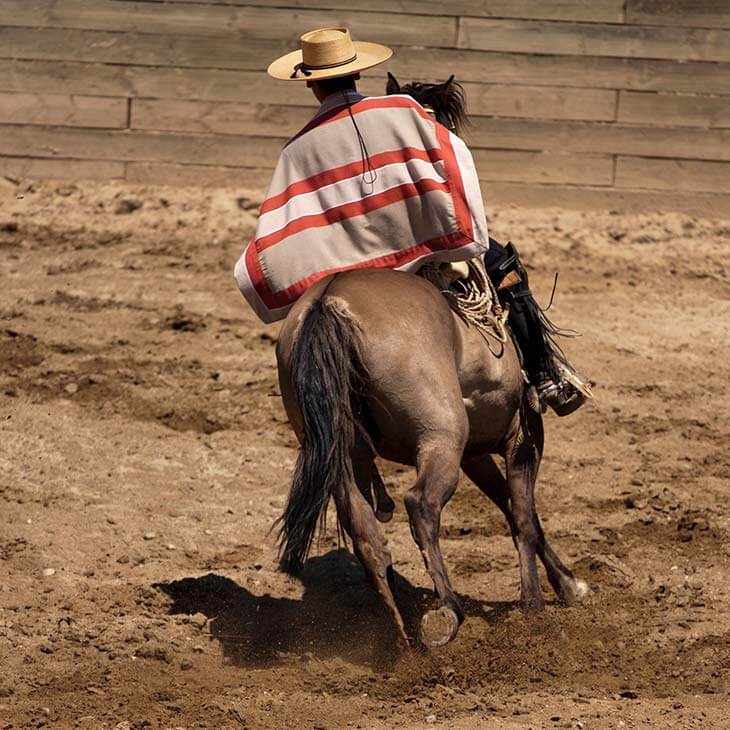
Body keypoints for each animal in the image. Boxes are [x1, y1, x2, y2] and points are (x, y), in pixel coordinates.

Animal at [272, 72, 584, 644]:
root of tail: (333, 301)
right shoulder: (522, 436)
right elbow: (523, 516)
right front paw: (537, 605)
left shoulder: (479, 448)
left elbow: (511, 509)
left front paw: (565, 585)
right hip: (441, 435)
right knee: (421, 506)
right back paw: (446, 612)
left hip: (343, 449)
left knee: (363, 526)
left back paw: (398, 630)